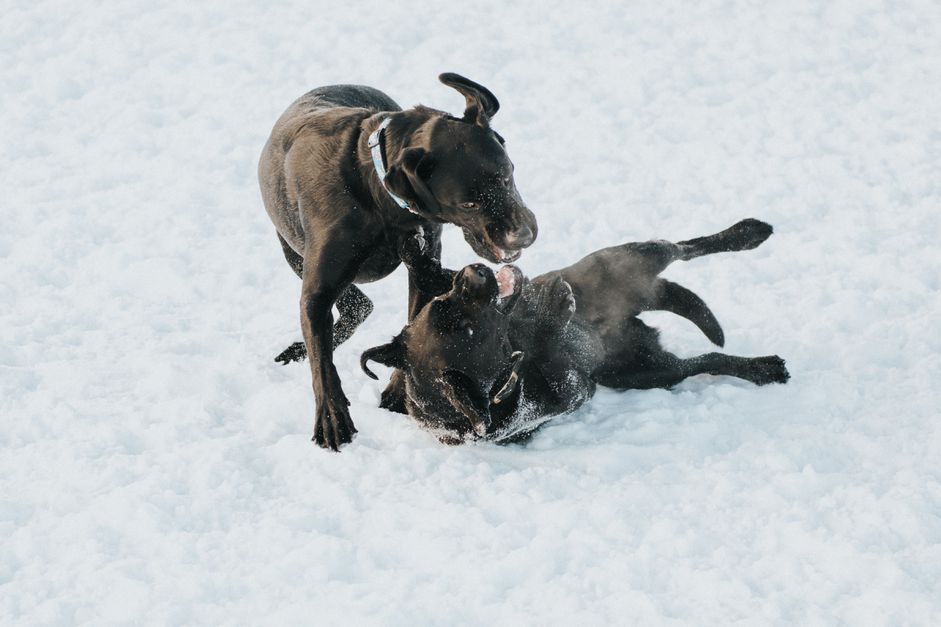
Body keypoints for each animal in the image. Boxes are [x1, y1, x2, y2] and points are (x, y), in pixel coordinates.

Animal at [258, 73, 536, 452]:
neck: (377, 196)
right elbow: (322, 360)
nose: (523, 236)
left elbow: (413, 327)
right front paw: (332, 418)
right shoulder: (317, 291)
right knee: (355, 307)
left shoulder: (423, 267)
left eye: (507, 175)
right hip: (292, 251)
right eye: (468, 204)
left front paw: (395, 391)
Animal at [364, 218, 788, 444]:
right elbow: (552, 350)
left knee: (685, 246)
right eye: (467, 329)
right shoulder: (576, 388)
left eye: (443, 302)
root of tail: (638, 305)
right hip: (652, 371)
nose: (474, 270)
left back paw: (750, 232)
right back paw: (763, 367)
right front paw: (554, 311)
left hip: (629, 256)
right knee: (709, 359)